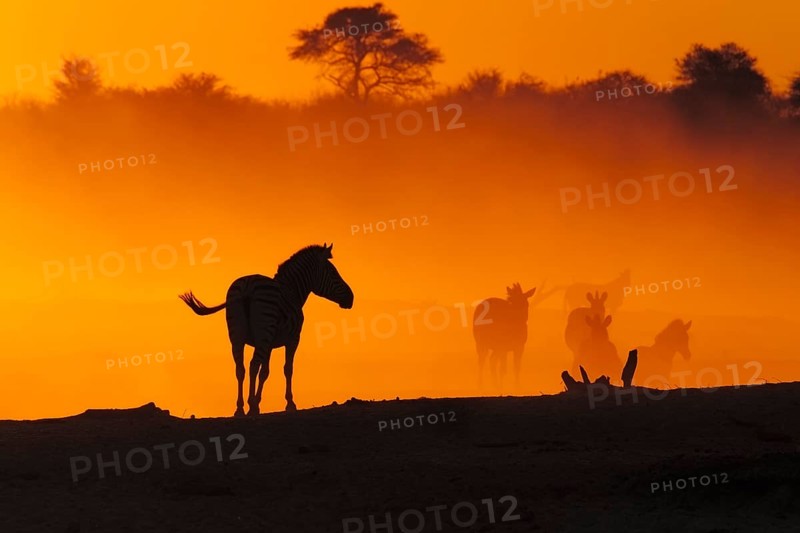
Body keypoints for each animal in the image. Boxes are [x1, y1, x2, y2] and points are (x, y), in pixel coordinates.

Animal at [179, 243, 354, 416]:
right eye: (333, 273)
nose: (351, 298)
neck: (292, 291)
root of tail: (247, 287)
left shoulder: (268, 344)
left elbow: (265, 372)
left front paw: (258, 402)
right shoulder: (292, 339)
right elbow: (287, 369)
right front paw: (289, 403)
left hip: (237, 335)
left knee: (240, 368)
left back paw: (240, 408)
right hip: (264, 330)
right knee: (253, 365)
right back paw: (250, 407)